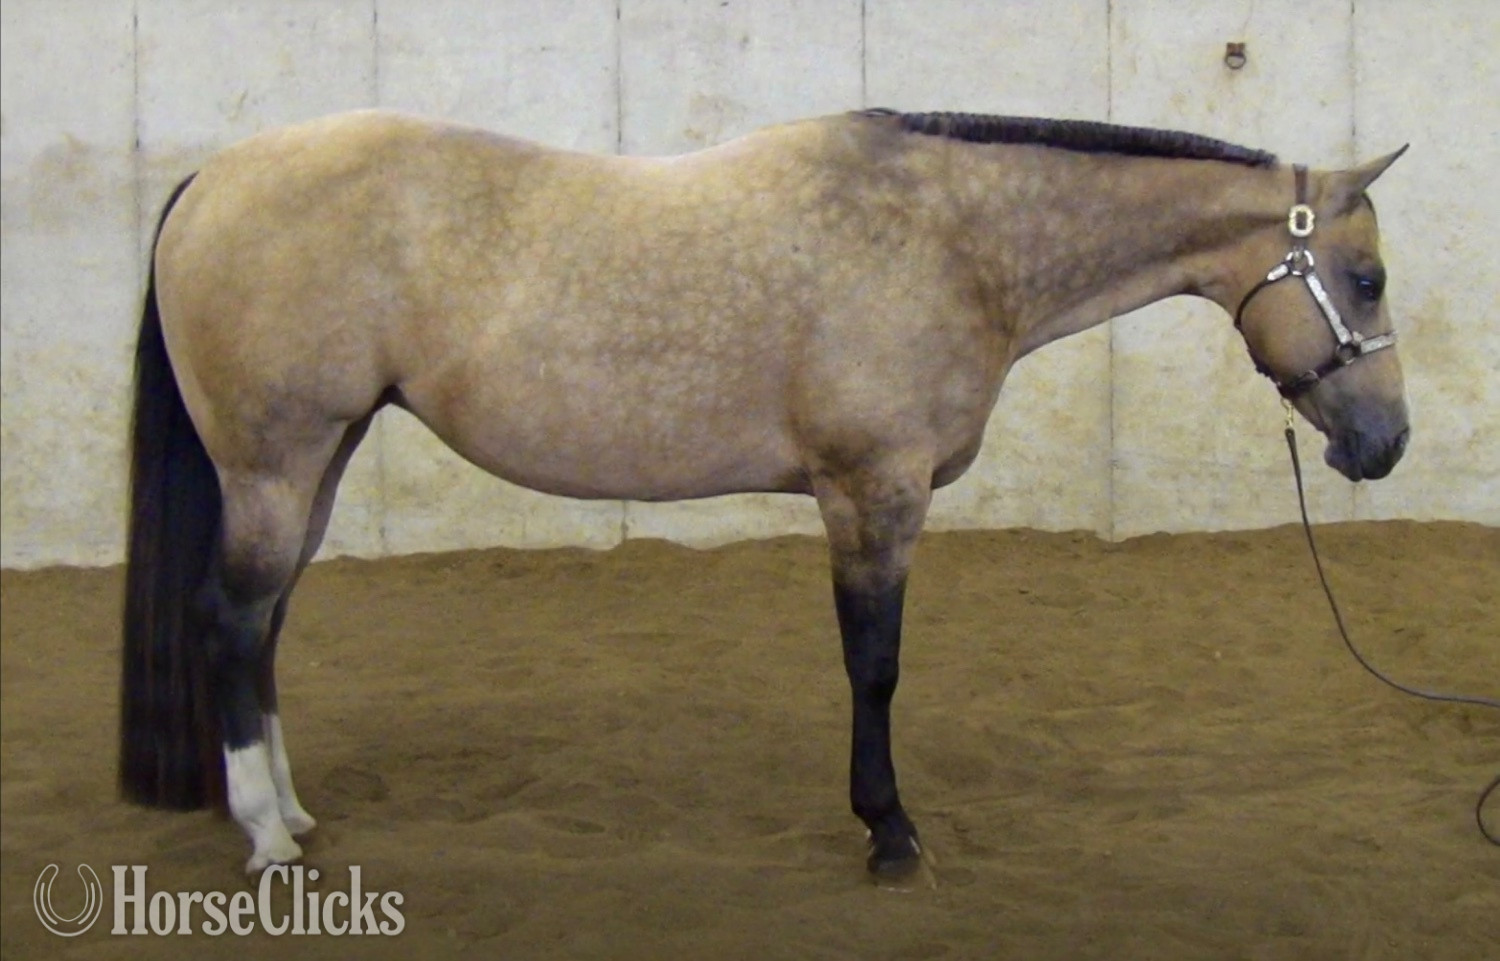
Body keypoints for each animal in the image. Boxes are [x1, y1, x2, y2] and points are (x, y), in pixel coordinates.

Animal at [119, 108, 1410, 880]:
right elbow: (874, 665)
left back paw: (291, 810)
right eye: (1366, 276)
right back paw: (267, 836)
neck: (955, 240)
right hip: (278, 464)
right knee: (232, 622)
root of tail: (212, 177)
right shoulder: (873, 492)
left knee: (265, 629)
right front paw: (890, 832)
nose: (1387, 443)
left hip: (320, 459)